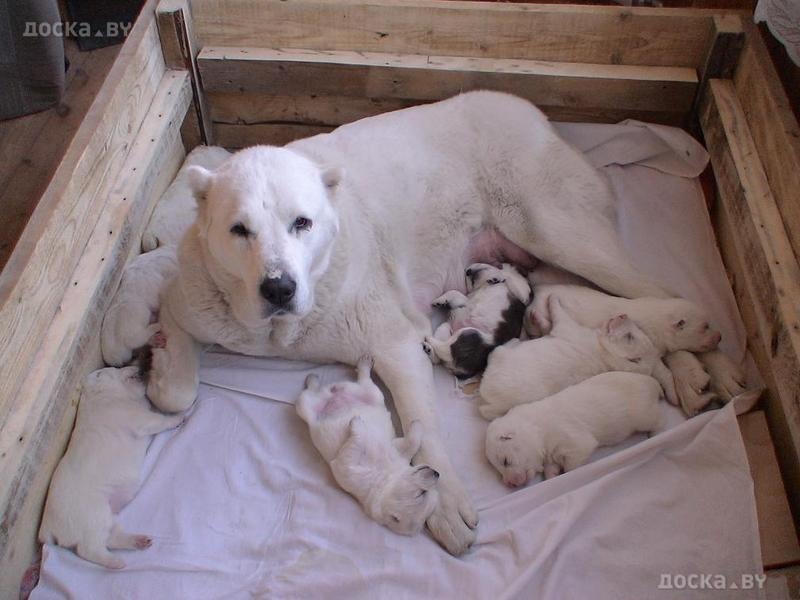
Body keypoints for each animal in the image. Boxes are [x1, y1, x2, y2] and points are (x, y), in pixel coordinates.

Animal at [38, 367, 184, 569]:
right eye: (112, 369)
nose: (139, 367)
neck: (103, 396)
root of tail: (47, 528)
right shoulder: (137, 418)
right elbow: (158, 420)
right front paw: (178, 417)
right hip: (92, 516)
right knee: (89, 549)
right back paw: (116, 562)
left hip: (105, 516)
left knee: (111, 539)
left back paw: (139, 542)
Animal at [296, 357, 439, 535]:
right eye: (421, 493)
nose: (437, 473)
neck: (387, 476)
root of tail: (330, 394)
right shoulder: (394, 449)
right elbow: (410, 443)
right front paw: (417, 424)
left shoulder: (349, 470)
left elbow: (350, 451)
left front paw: (356, 424)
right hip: (364, 396)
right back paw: (318, 377)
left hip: (360, 397)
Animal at [478, 297, 675, 420]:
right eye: (633, 333)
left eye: (629, 337)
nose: (623, 314)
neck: (606, 353)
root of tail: (490, 399)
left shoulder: (566, 326)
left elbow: (557, 313)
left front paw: (552, 300)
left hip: (499, 356)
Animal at [485, 372, 663, 487]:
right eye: (499, 469)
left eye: (505, 461)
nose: (510, 484)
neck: (537, 428)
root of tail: (652, 382)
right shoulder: (551, 455)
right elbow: (551, 467)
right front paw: (552, 476)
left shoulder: (574, 441)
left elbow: (573, 464)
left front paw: (566, 474)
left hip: (644, 415)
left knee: (659, 418)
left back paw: (656, 434)